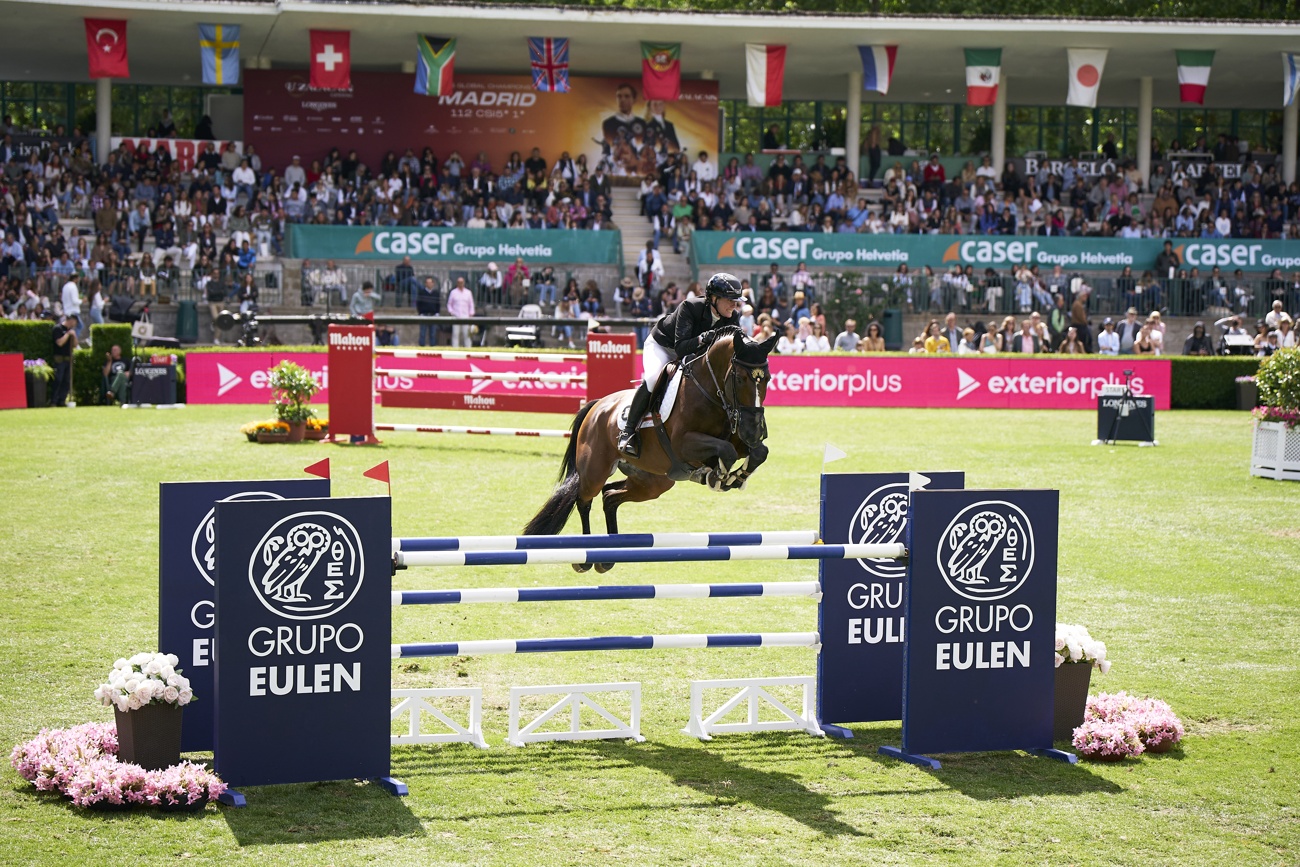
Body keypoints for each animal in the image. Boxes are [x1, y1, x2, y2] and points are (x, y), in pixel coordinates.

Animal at [520, 324, 780, 569]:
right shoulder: (684, 444)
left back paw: (608, 556)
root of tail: (597, 406)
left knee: (610, 496)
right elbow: (725, 450)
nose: (754, 431)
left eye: (767, 379)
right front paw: (718, 476)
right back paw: (586, 557)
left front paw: (735, 476)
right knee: (584, 500)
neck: (712, 393)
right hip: (595, 470)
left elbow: (758, 452)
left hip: (652, 481)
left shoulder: (737, 439)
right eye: (740, 378)